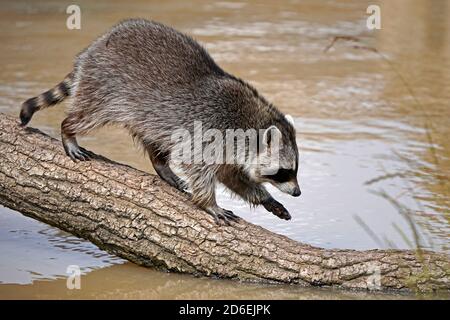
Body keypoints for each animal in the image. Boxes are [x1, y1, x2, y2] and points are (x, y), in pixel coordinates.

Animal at [19, 18, 300, 224]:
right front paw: (209, 203)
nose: (298, 192)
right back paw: (68, 131)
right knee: (89, 115)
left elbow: (232, 177)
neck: (251, 124)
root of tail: (95, 46)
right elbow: (198, 167)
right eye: (284, 172)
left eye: (294, 170)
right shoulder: (209, 131)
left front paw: (266, 199)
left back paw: (161, 165)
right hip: (104, 86)